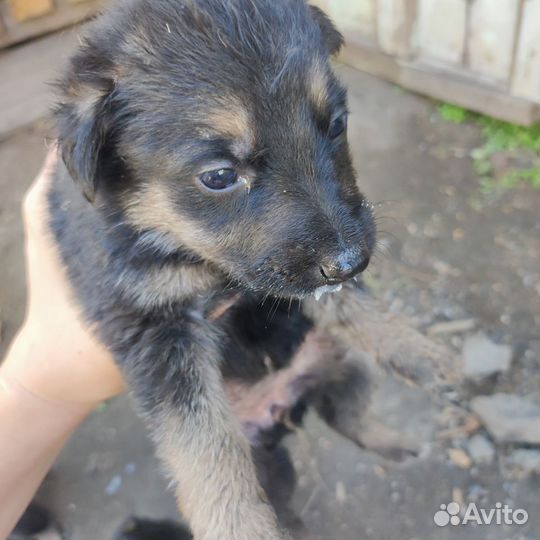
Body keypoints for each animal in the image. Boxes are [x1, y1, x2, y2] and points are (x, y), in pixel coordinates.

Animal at [52, 2, 378, 536]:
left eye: (336, 125)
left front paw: (424, 353)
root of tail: (280, 410)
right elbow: (204, 446)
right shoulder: (153, 328)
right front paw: (239, 526)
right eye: (220, 176)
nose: (351, 262)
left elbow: (360, 310)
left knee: (351, 404)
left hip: (333, 364)